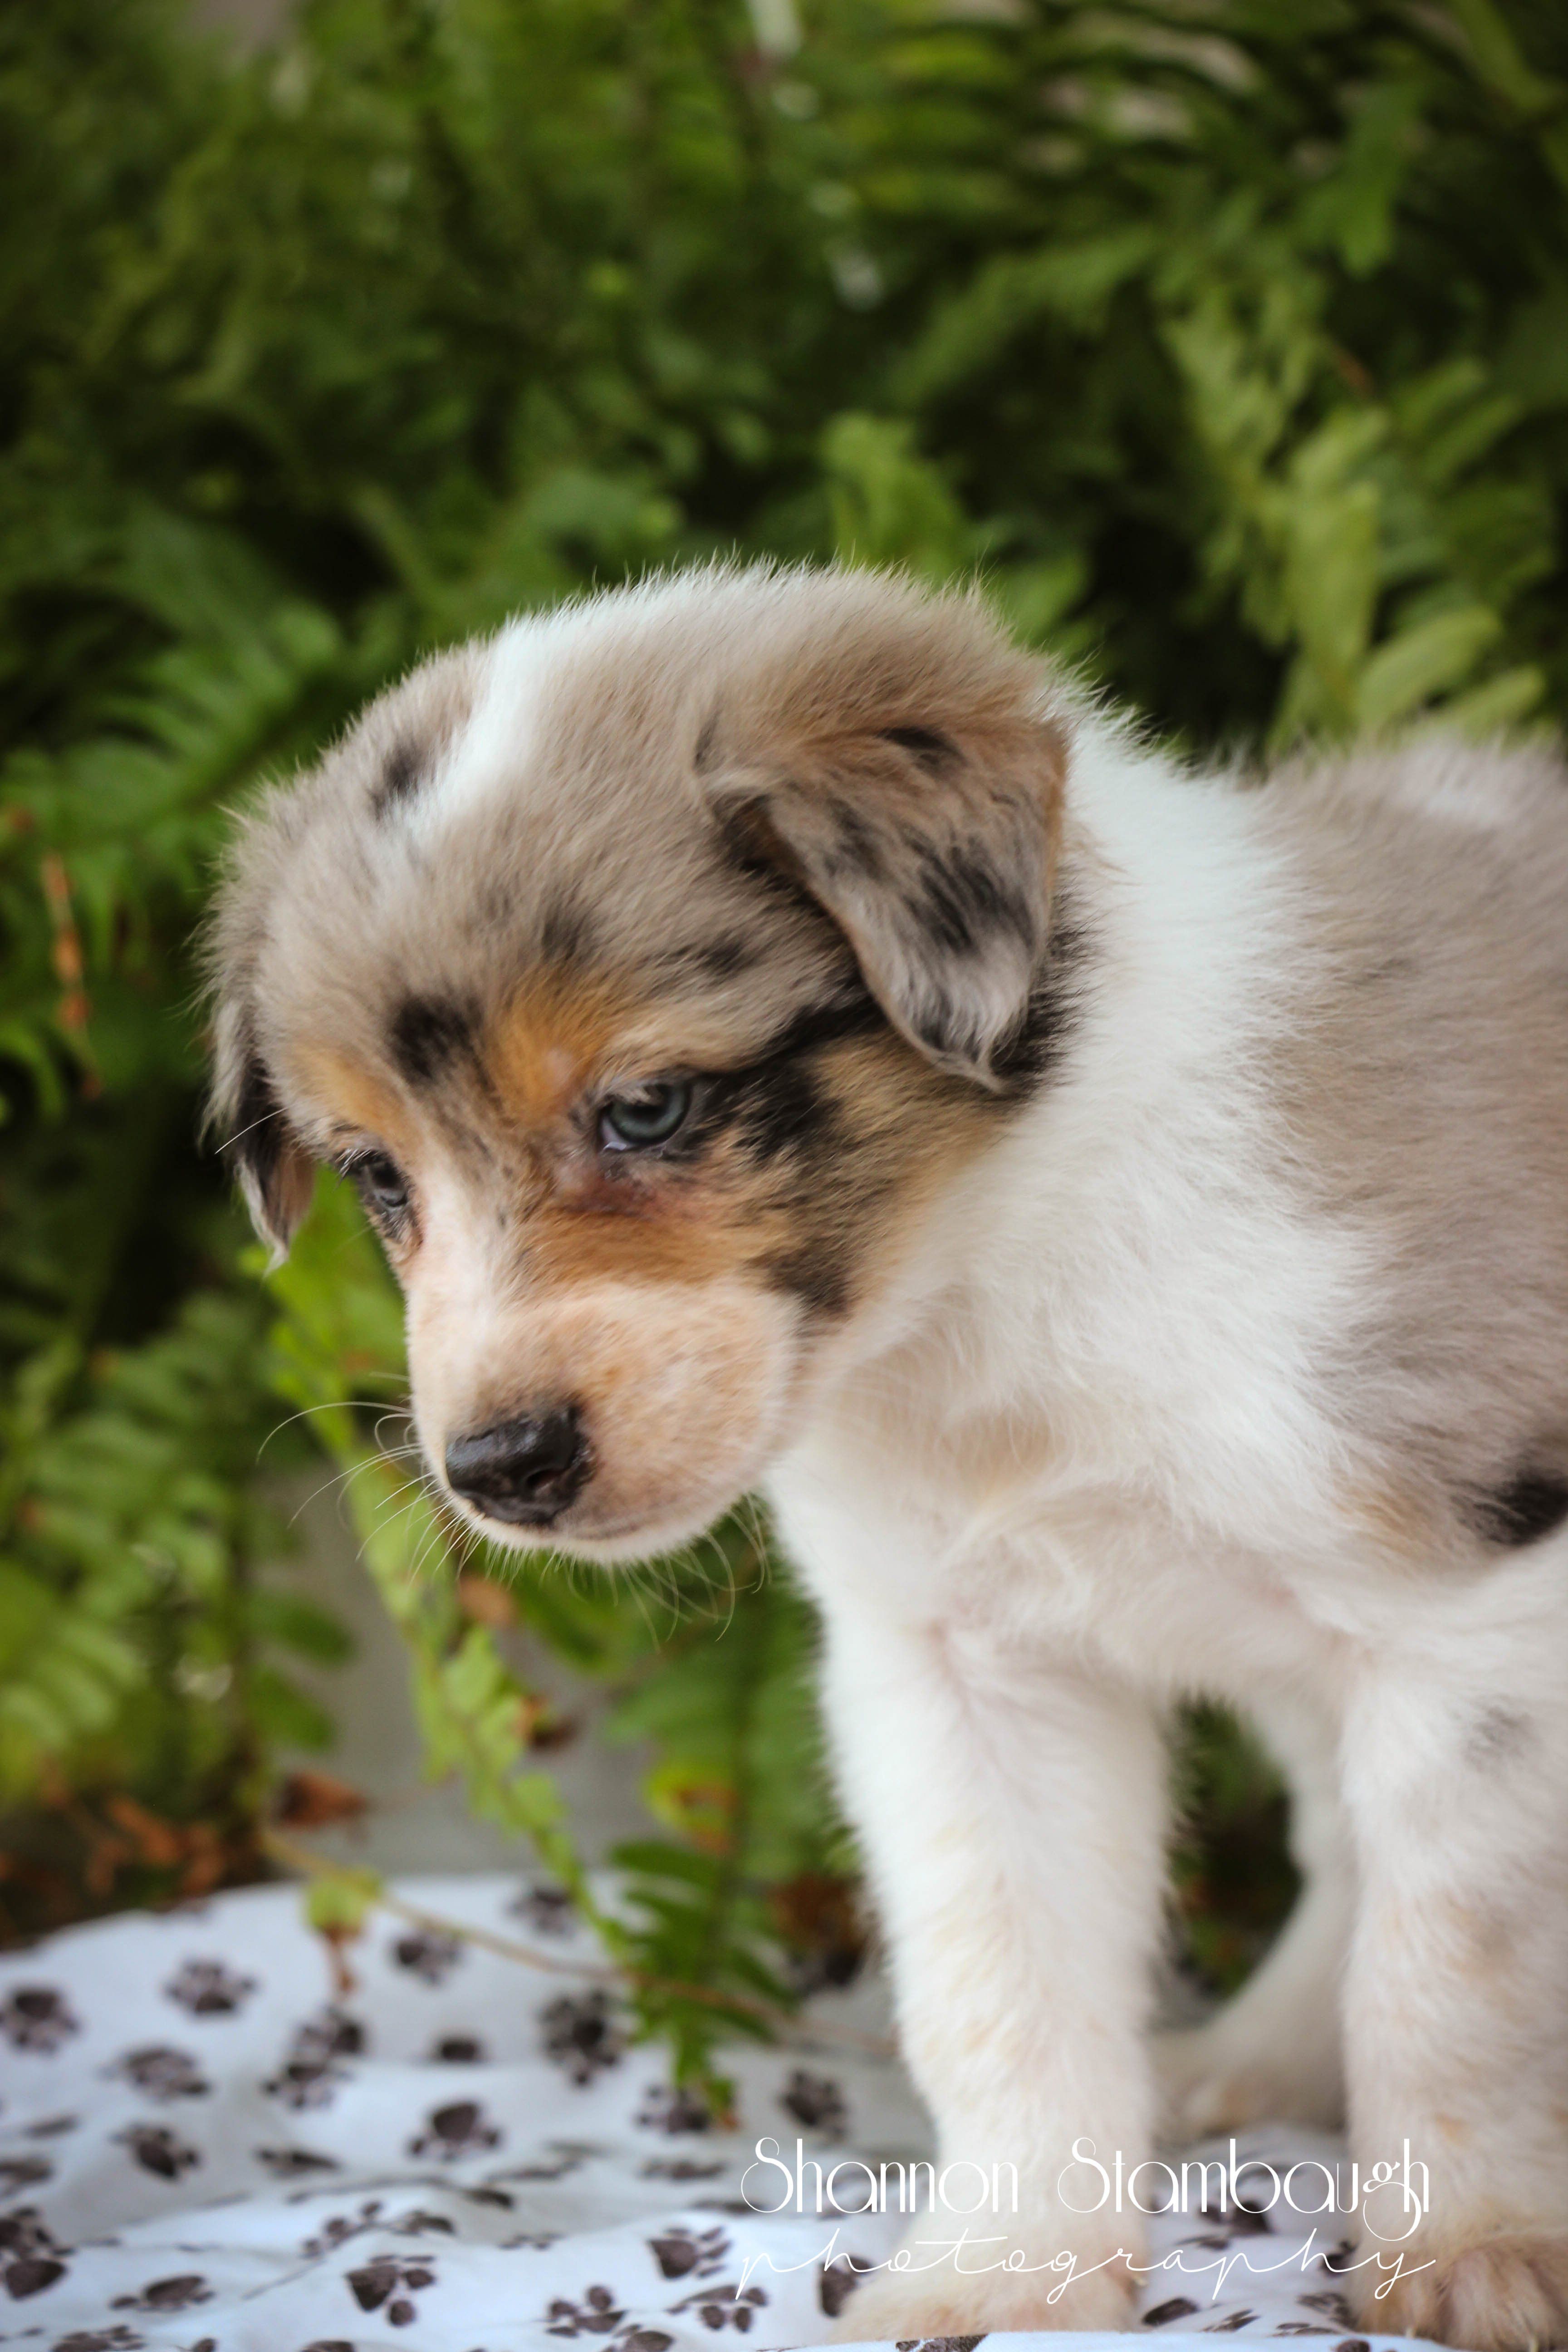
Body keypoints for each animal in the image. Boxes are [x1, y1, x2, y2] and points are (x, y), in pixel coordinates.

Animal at [208, 569, 1568, 2352]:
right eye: (379, 1178)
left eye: (648, 1106)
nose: (499, 1465)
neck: (1006, 1276)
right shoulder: (953, 1664)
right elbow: (1001, 1986)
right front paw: (1006, 2274)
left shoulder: (1471, 1611)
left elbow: (1459, 1979)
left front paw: (1476, 2249)